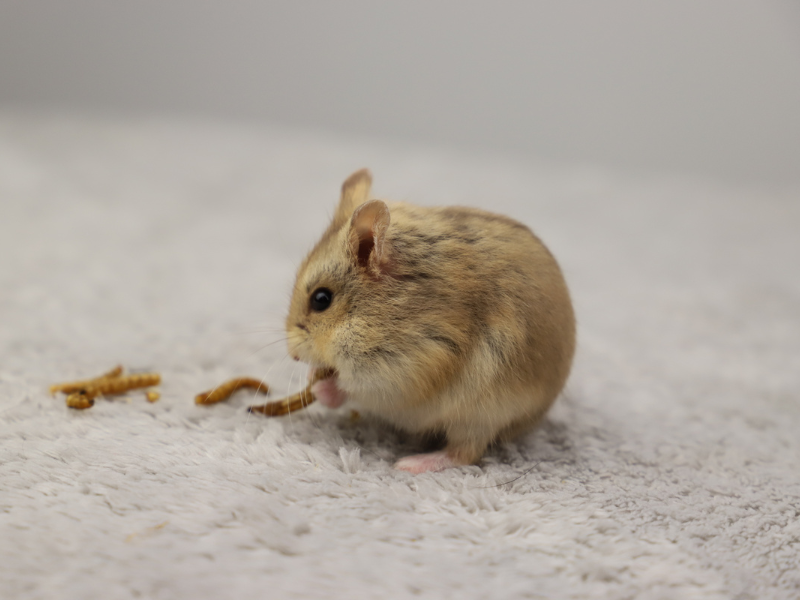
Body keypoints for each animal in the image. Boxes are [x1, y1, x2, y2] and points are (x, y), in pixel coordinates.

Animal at [285, 169, 575, 473]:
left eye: (321, 299)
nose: (293, 355)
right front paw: (312, 375)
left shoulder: (404, 369)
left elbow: (347, 386)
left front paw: (318, 385)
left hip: (480, 417)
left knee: (463, 454)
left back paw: (409, 464)